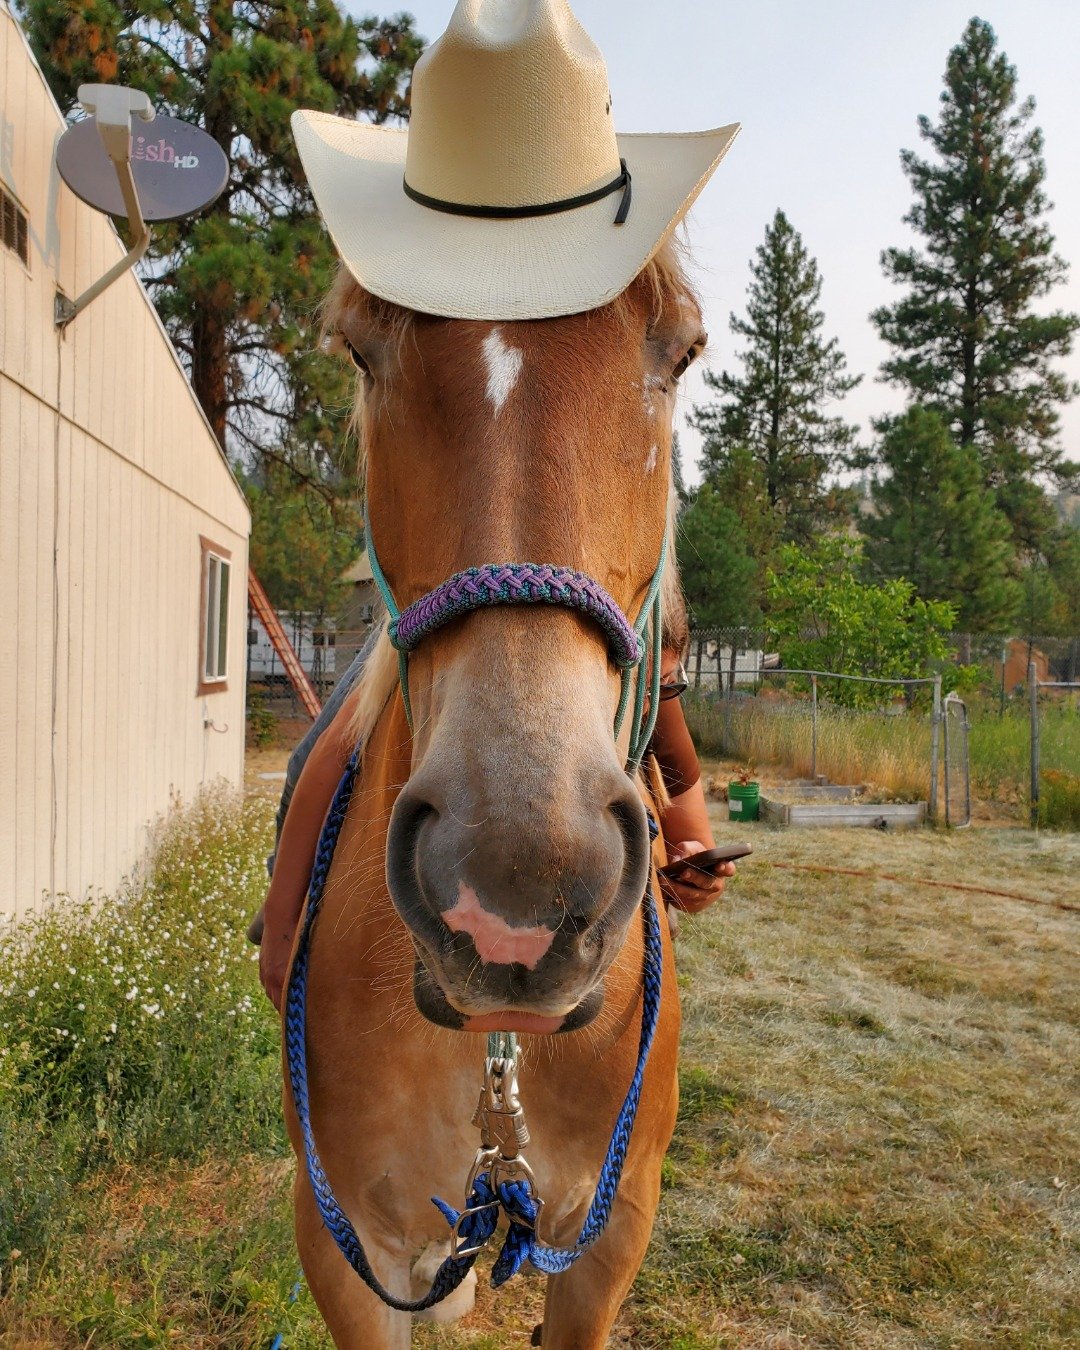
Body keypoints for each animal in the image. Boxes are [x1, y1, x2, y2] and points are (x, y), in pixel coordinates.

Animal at [283, 239, 707, 1348]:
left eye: (682, 352)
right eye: (362, 351)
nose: (519, 877)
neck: (498, 1055)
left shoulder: (611, 1235)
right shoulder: (346, 1246)